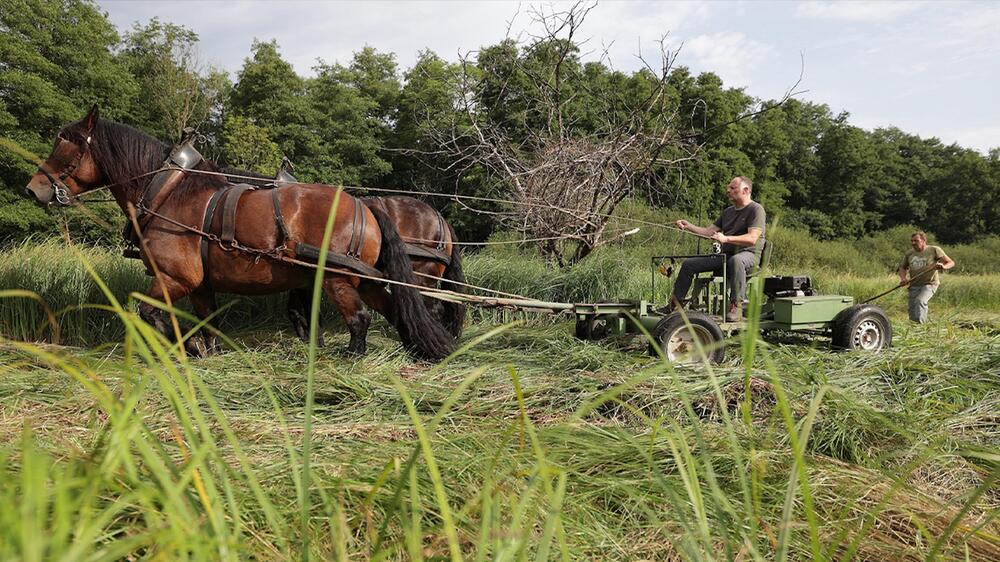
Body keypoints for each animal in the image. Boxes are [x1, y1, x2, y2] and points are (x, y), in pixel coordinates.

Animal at [24, 106, 454, 356]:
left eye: (66, 146)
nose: (33, 188)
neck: (167, 190)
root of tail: (365, 206)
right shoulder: (199, 284)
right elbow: (207, 320)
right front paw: (206, 349)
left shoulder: (175, 277)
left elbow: (148, 311)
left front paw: (187, 346)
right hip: (362, 278)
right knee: (397, 309)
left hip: (337, 278)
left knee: (361, 319)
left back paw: (353, 356)